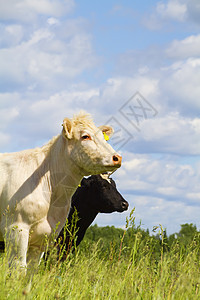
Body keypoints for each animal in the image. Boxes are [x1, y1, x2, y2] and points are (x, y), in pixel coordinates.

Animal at [0, 111, 122, 270]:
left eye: (103, 137)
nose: (117, 157)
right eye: (85, 136)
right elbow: (19, 269)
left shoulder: (45, 238)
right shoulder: (16, 229)